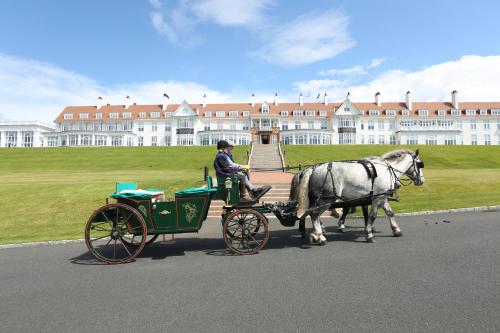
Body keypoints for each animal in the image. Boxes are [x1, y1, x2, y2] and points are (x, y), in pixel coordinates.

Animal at [296, 149, 426, 243]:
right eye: (419, 164)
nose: (422, 180)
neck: (387, 169)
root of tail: (312, 168)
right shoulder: (377, 198)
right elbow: (372, 216)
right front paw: (369, 234)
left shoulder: (382, 197)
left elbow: (390, 213)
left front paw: (396, 230)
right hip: (326, 200)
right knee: (314, 214)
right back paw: (319, 236)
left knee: (311, 214)